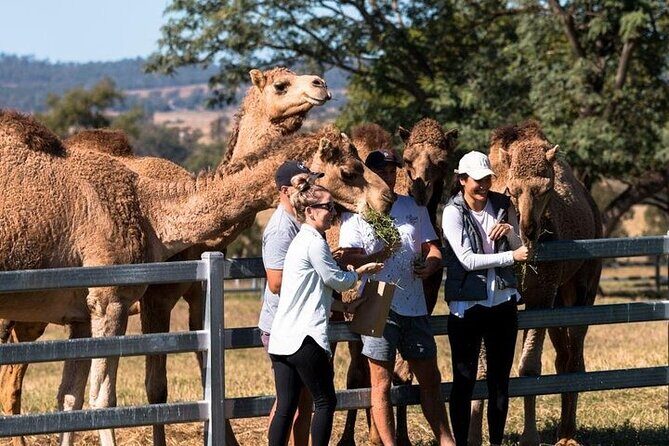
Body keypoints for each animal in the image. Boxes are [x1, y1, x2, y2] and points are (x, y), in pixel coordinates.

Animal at [0, 110, 393, 446]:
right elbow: (102, 400)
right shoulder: (109, 298)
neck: (149, 210)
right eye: (349, 170)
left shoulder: (80, 313)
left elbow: (70, 400)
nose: (386, 198)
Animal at [467, 121, 602, 446]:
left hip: (584, 284)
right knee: (564, 356)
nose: (529, 229)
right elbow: (483, 370)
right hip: (559, 297)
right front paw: (474, 436)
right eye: (512, 191)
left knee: (575, 355)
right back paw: (563, 430)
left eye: (546, 189)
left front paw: (529, 437)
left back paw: (568, 434)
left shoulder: (540, 296)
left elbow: (529, 368)